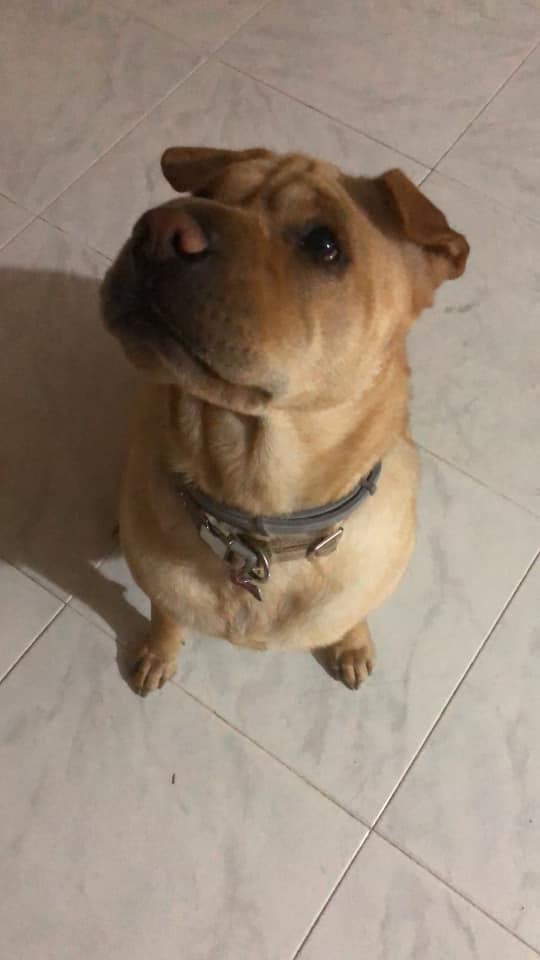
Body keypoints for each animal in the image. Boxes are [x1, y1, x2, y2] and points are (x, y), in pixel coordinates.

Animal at [101, 146, 468, 692]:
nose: (160, 227)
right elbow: (164, 614)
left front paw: (352, 645)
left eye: (325, 245)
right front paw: (157, 652)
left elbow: (352, 616)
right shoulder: (163, 588)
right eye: (205, 193)